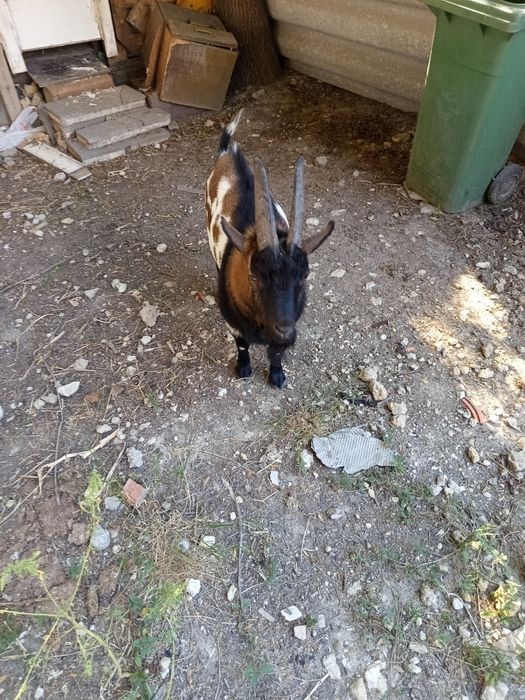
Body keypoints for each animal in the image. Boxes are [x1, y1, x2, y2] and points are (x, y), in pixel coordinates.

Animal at [205, 111, 335, 388]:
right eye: (253, 275)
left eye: (305, 275)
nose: (284, 331)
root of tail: (228, 151)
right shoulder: (233, 323)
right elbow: (241, 344)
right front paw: (243, 369)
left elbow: (276, 352)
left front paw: (276, 376)